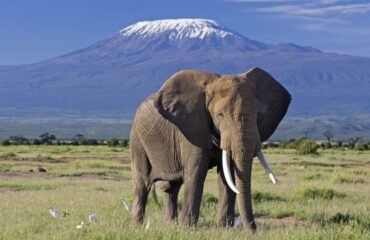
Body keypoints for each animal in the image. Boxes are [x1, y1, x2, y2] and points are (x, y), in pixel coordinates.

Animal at [131, 67, 292, 231]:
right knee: (143, 183)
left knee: (171, 187)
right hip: (137, 139)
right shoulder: (191, 128)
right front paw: (188, 229)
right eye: (220, 115)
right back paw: (137, 225)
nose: (253, 231)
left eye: (257, 114)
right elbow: (196, 173)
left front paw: (224, 228)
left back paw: (170, 225)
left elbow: (228, 175)